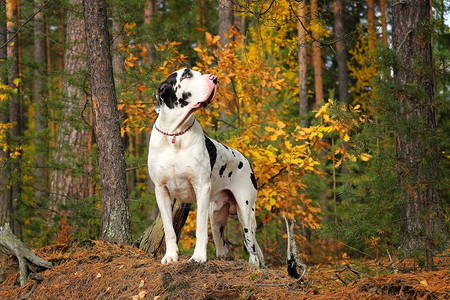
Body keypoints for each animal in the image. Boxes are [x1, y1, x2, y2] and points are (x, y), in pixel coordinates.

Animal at [148, 68, 264, 268]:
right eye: (187, 75)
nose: (215, 78)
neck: (175, 134)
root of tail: (247, 161)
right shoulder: (161, 191)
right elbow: (169, 229)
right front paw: (170, 256)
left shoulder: (201, 188)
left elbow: (200, 229)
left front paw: (198, 257)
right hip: (216, 215)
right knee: (221, 243)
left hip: (245, 211)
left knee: (251, 246)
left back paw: (253, 265)